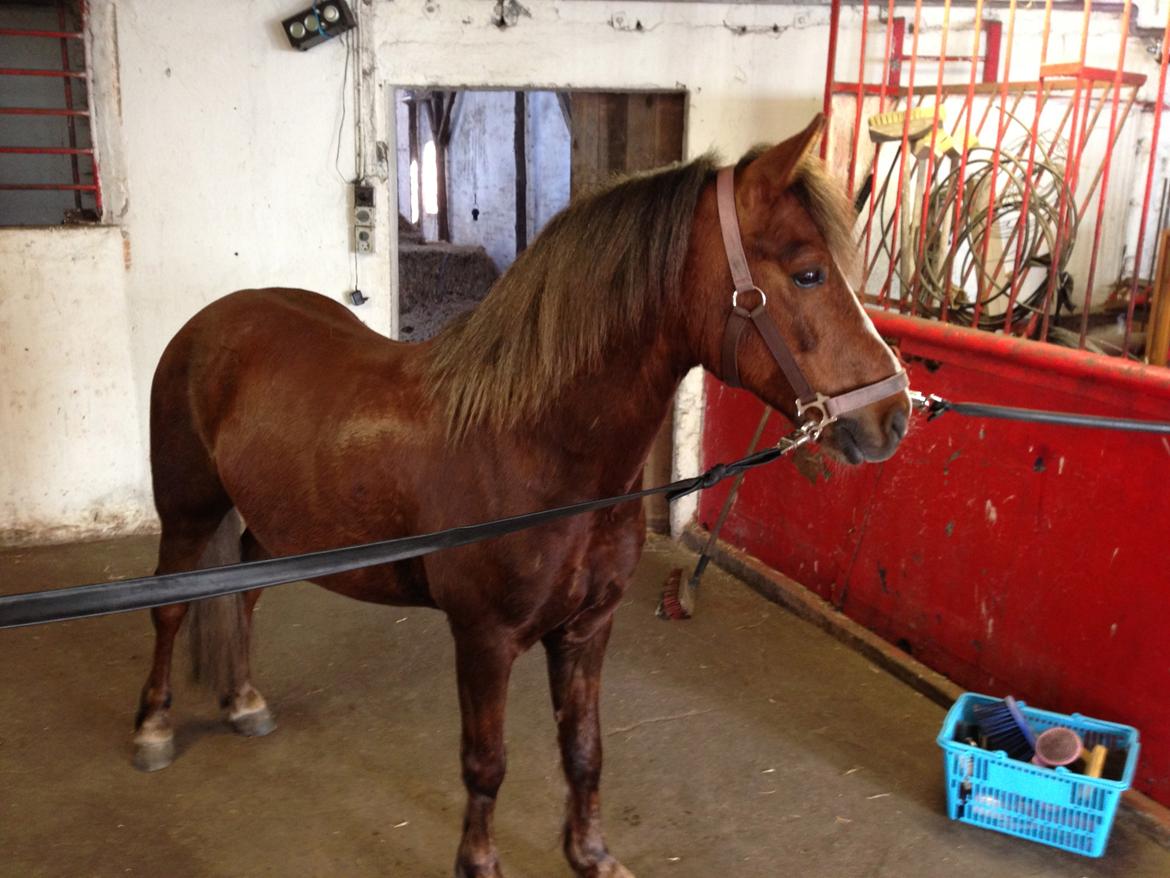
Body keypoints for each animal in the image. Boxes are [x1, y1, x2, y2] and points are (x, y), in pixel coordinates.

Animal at [135, 115, 910, 878]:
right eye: (808, 273)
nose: (894, 416)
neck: (533, 445)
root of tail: (212, 321)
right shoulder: (484, 638)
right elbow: (486, 763)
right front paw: (479, 864)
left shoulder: (589, 629)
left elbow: (585, 750)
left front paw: (591, 855)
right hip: (187, 511)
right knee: (170, 607)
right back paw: (154, 726)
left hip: (273, 525)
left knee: (242, 592)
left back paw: (243, 700)